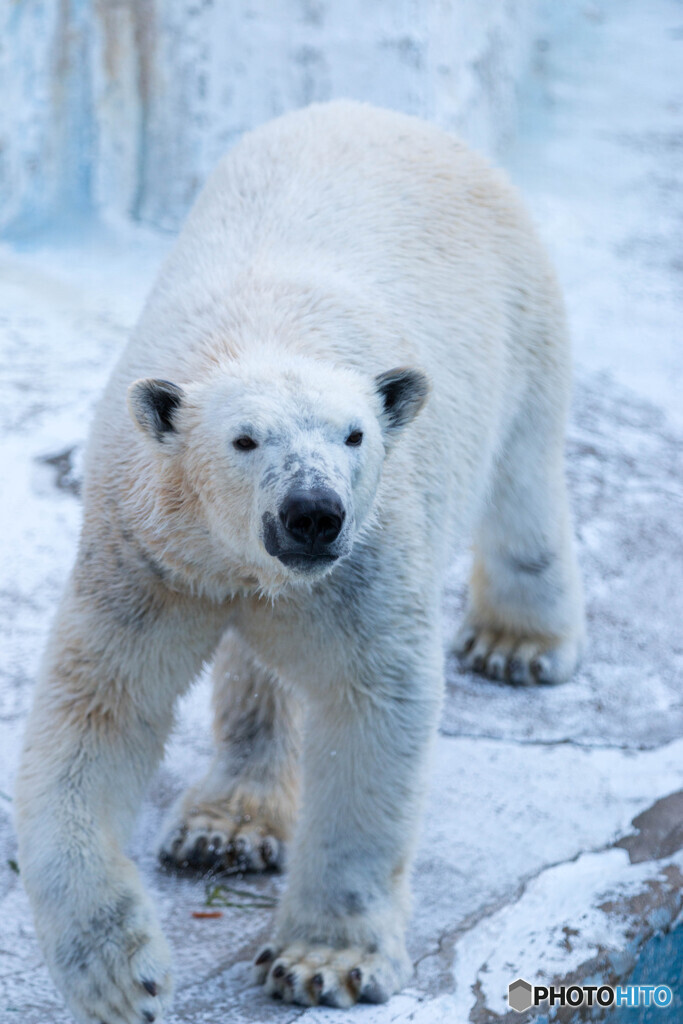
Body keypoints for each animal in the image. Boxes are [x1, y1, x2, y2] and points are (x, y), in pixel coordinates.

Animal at [13, 97, 585, 1024]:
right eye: (245, 440)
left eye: (353, 435)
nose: (313, 514)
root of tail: (383, 111)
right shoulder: (147, 553)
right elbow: (100, 711)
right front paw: (122, 977)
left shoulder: (369, 560)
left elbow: (370, 707)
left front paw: (323, 962)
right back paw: (227, 825)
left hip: (518, 309)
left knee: (524, 477)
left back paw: (518, 645)